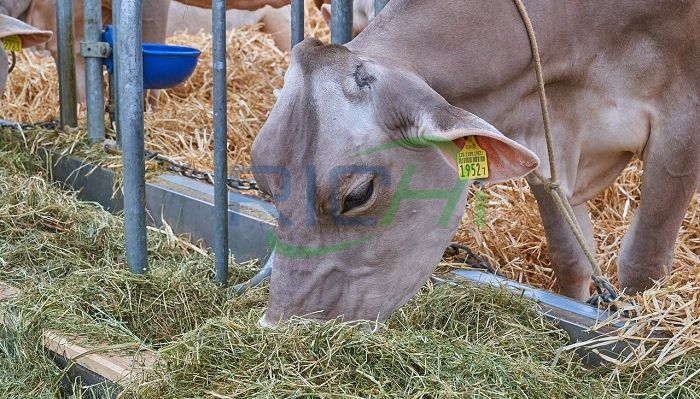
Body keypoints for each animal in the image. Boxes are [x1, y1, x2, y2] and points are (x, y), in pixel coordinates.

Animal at [254, 0, 700, 328]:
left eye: (358, 194)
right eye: (263, 181)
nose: (278, 327)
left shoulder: (682, 126)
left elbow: (643, 263)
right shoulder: (547, 135)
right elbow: (571, 256)